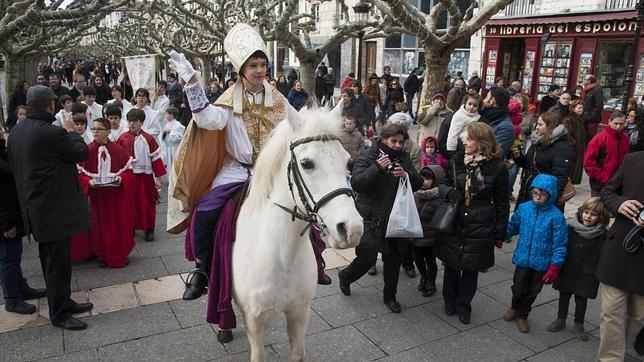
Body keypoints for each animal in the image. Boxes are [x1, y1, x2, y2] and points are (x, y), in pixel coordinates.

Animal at [233, 103, 364, 360]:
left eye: (348, 163)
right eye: (307, 164)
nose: (352, 229)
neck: (282, 258)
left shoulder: (299, 313)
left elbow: (297, 353)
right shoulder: (254, 321)